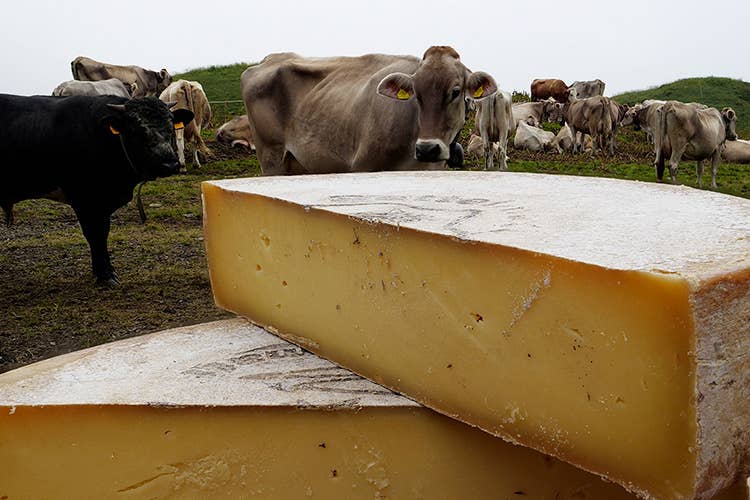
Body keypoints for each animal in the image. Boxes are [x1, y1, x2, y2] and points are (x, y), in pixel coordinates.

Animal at [0, 94, 194, 286]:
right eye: (135, 130)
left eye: (170, 125)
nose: (169, 164)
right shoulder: (85, 201)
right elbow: (95, 234)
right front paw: (104, 275)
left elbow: (103, 232)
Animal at [242, 47, 500, 175]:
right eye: (416, 94)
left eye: (455, 91)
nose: (427, 149)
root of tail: (268, 59)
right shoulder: (362, 166)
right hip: (271, 158)